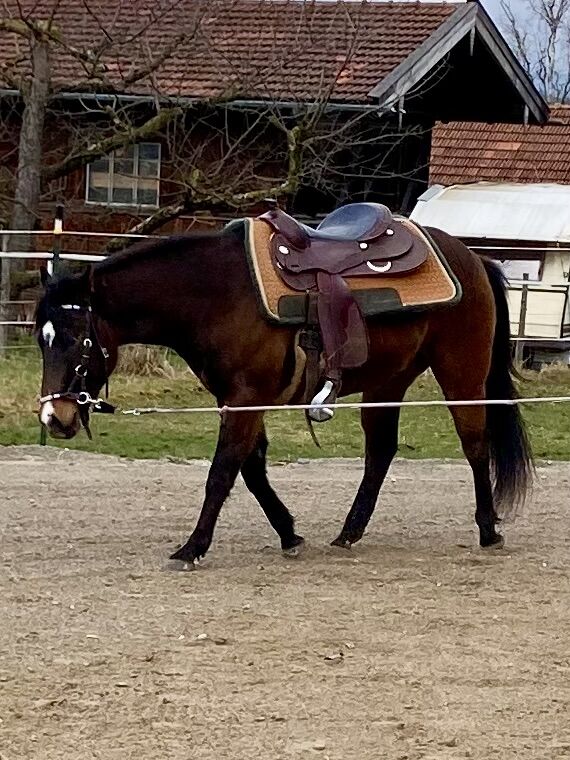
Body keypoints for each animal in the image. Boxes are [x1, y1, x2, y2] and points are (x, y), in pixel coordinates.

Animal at [35, 219, 533, 564]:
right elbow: (252, 470)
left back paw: (488, 530)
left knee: (474, 445)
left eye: (77, 339)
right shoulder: (235, 399)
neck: (218, 292)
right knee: (380, 452)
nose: (54, 418)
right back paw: (350, 531)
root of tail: (471, 257)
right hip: (387, 381)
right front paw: (289, 533)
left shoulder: (246, 397)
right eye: (42, 339)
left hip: (462, 374)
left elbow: (223, 471)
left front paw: (193, 547)